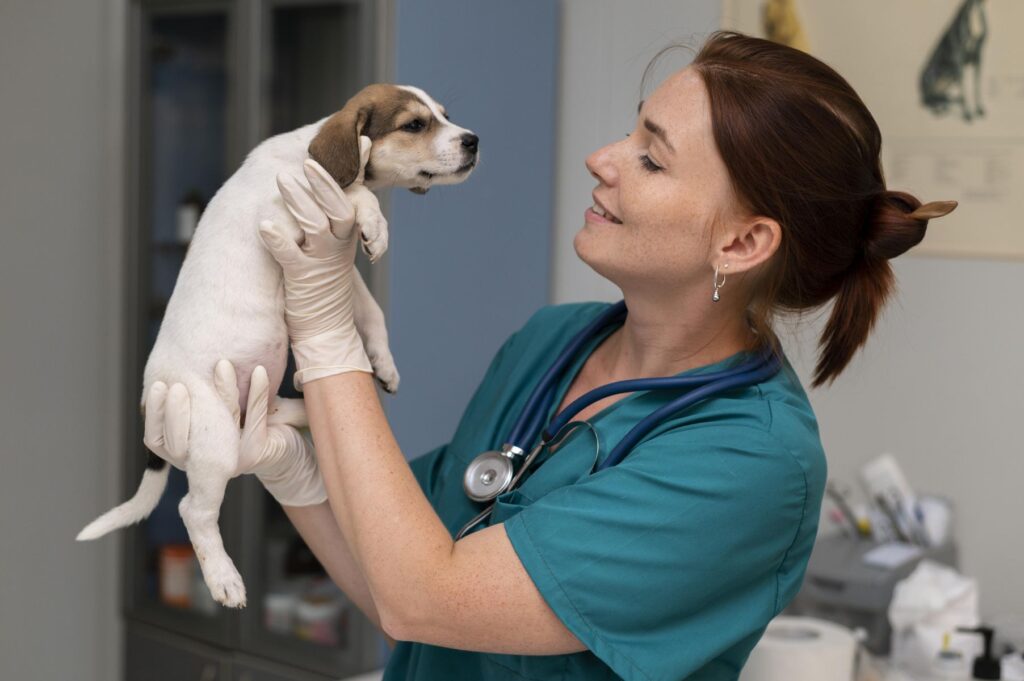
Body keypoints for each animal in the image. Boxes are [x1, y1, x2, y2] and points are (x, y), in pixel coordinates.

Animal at [76, 83, 479, 606]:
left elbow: (371, 310)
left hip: (253, 415)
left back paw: (303, 408)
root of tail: (152, 404)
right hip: (216, 441)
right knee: (193, 512)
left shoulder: (337, 264)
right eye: (414, 124)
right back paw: (223, 579)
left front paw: (384, 363)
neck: (306, 156)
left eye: (444, 115)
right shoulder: (282, 219)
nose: (473, 140)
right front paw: (374, 221)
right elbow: (352, 193)